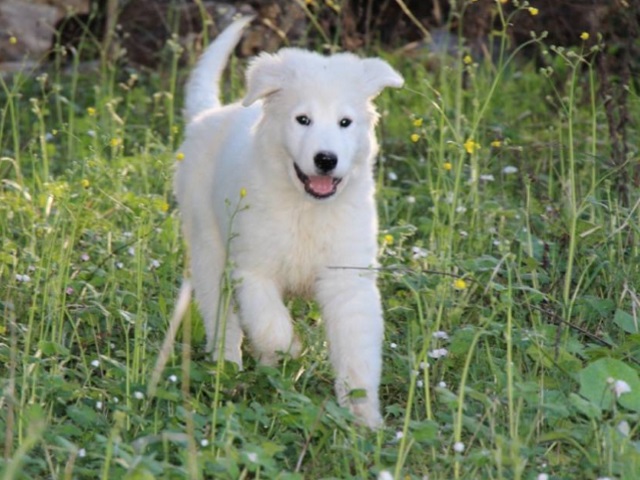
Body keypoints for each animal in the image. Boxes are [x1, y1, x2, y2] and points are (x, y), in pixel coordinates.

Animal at [174, 16, 404, 428]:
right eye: (303, 120)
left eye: (345, 122)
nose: (326, 159)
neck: (307, 208)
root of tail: (207, 116)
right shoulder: (253, 271)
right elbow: (271, 326)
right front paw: (291, 353)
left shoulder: (348, 277)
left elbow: (357, 351)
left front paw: (364, 417)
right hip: (207, 246)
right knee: (220, 315)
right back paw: (227, 367)